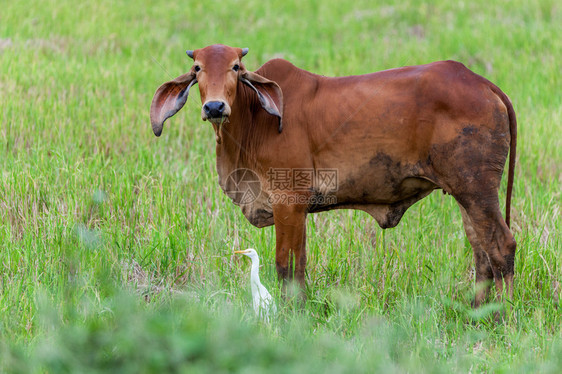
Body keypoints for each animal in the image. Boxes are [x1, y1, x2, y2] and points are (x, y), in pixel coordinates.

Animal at [150, 44, 516, 306]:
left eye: (236, 68)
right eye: (197, 68)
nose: (214, 107)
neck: (254, 118)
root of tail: (482, 82)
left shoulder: (287, 201)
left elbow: (285, 266)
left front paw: (289, 315)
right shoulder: (297, 211)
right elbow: (300, 266)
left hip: (476, 189)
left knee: (502, 246)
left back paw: (503, 316)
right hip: (466, 194)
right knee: (481, 251)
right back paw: (476, 311)